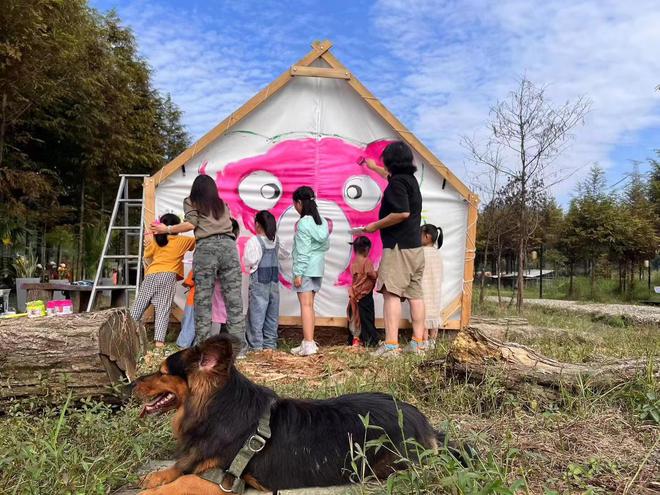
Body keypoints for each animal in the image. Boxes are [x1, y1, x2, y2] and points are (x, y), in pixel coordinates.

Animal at [131, 336, 470, 494]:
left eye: (162, 372)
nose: (130, 383)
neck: (221, 409)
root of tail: (424, 424)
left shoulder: (221, 477)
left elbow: (179, 482)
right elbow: (175, 469)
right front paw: (154, 476)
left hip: (388, 466)